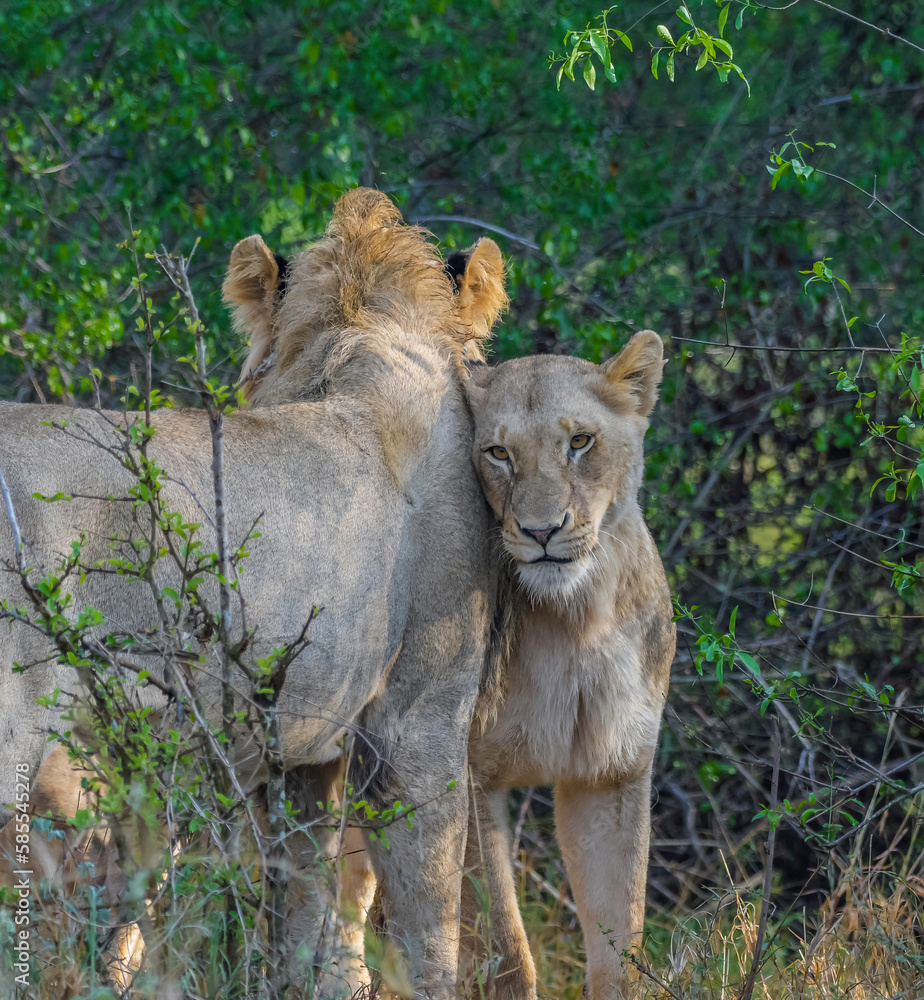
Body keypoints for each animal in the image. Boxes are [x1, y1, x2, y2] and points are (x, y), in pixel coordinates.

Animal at [459, 330, 676, 1000]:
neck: (579, 620)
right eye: (499, 453)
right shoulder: (460, 773)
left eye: (580, 441)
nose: (540, 531)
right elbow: (504, 952)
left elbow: (620, 950)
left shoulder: (609, 778)